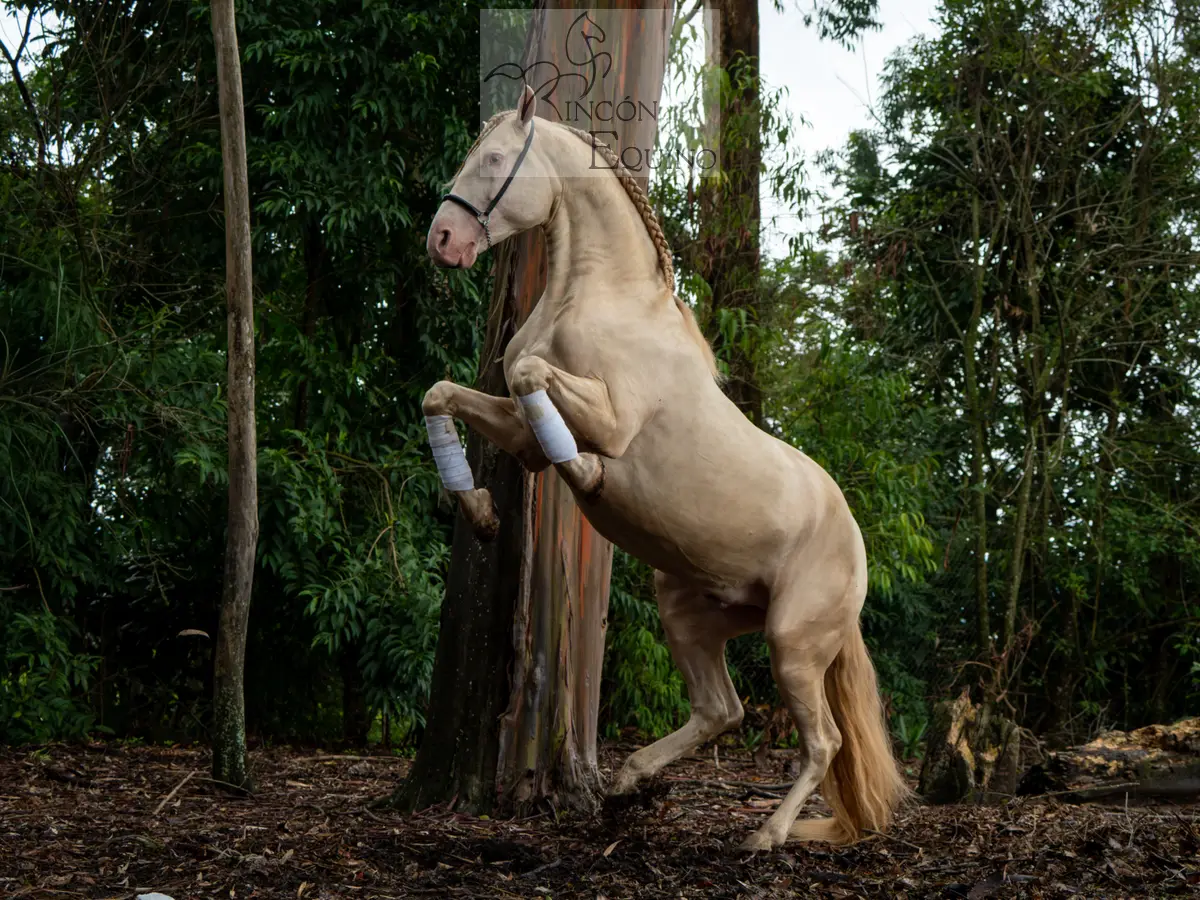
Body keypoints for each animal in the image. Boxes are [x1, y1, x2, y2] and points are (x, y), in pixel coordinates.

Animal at [421, 85, 909, 851]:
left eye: (494, 160)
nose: (444, 240)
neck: (597, 298)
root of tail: (856, 551)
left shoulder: (607, 418)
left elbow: (534, 380)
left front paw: (589, 476)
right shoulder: (522, 434)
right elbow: (441, 393)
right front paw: (478, 510)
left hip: (793, 640)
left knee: (822, 742)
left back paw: (766, 835)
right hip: (689, 612)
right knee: (721, 710)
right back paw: (629, 780)